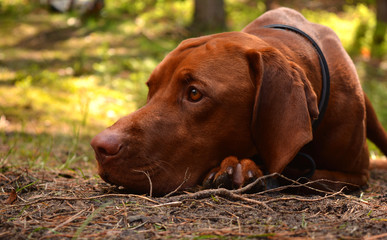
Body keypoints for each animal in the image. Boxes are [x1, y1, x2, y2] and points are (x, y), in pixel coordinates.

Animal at [90, 7, 387, 195]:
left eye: (194, 93)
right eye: (151, 88)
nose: (99, 146)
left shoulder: (356, 175)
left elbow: (306, 177)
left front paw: (248, 170)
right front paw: (235, 167)